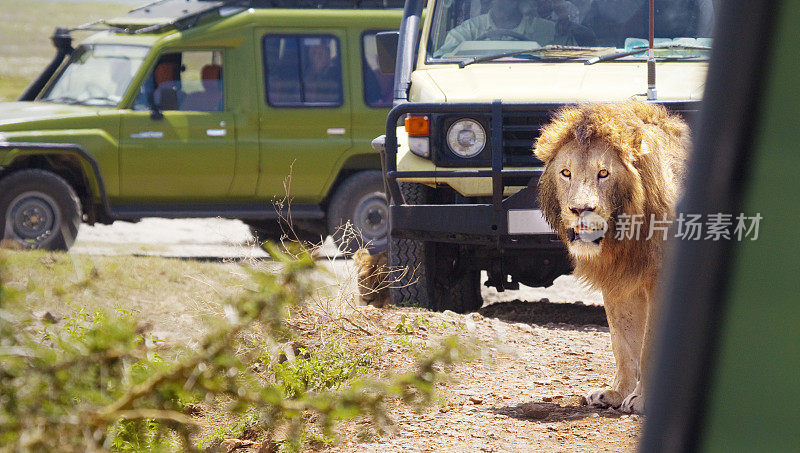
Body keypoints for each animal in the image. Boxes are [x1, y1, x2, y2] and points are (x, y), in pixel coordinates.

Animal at [532, 101, 688, 414]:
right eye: (566, 172)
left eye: (603, 173)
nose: (580, 209)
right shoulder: (619, 280)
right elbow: (623, 342)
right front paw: (616, 394)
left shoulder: (661, 277)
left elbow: (649, 345)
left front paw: (642, 400)